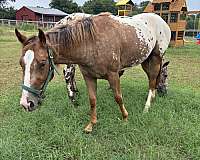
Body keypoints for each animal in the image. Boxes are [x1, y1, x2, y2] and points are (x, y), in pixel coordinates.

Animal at [16, 12, 171, 132]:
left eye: (43, 63)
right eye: (21, 63)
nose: (26, 103)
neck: (91, 42)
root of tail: (162, 21)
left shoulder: (113, 74)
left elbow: (118, 97)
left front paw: (125, 118)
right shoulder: (89, 76)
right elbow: (92, 100)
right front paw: (91, 124)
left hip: (156, 57)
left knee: (152, 80)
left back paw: (147, 106)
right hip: (146, 59)